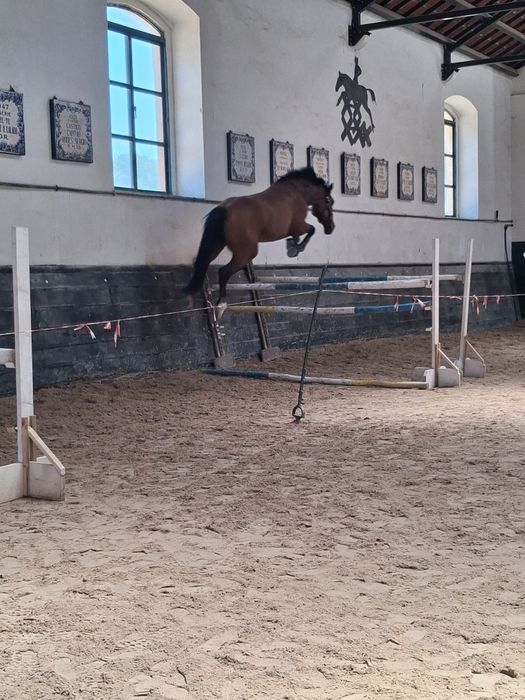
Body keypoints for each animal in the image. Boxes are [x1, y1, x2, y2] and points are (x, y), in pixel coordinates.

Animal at [182, 166, 335, 310]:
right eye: (328, 201)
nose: (331, 228)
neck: (298, 192)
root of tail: (224, 209)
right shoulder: (298, 226)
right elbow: (311, 230)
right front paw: (295, 249)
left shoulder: (295, 229)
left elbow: (298, 236)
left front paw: (292, 245)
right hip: (246, 253)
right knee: (224, 271)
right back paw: (222, 304)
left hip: (216, 246)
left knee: (202, 265)